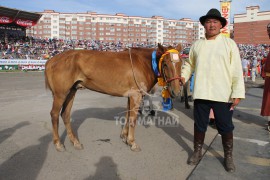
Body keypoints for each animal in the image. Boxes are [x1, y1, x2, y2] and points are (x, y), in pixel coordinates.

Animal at [44, 43, 181, 152]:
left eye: (180, 64)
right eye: (165, 64)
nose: (176, 91)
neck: (143, 63)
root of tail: (52, 60)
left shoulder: (130, 96)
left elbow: (127, 115)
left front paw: (124, 136)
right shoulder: (136, 96)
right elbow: (133, 119)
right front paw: (132, 142)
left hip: (71, 91)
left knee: (65, 114)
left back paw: (75, 142)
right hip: (60, 94)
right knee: (54, 114)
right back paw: (58, 144)